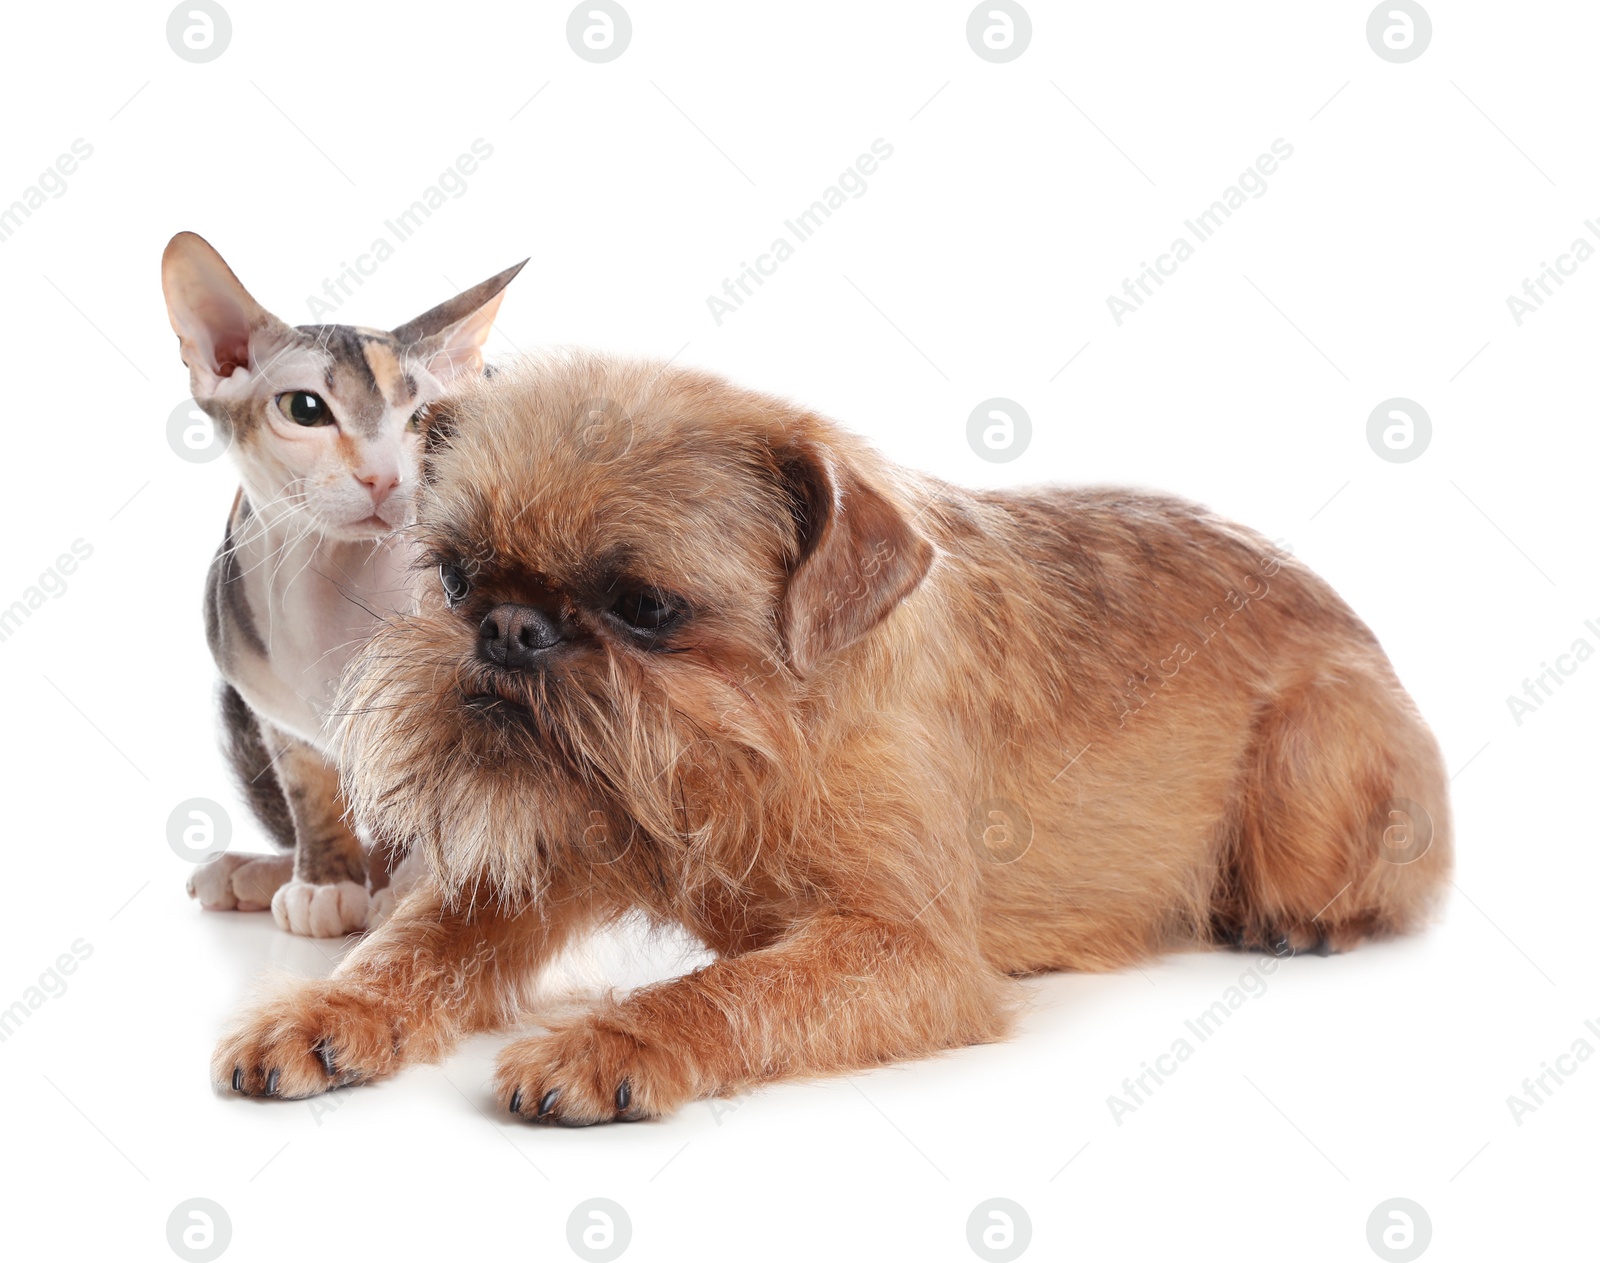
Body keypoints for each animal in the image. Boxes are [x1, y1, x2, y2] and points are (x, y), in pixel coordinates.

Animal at [162, 228, 524, 934]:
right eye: (305, 410)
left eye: (421, 419)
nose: (384, 477)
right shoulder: (272, 717)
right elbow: (308, 791)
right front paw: (324, 879)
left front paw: (412, 895)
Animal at [209, 350, 1452, 1120]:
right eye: (458, 580)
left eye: (644, 608)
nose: (510, 633)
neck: (750, 745)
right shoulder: (530, 868)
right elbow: (412, 945)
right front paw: (323, 1011)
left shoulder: (904, 953)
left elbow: (730, 990)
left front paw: (616, 1040)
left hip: (1312, 763)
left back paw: (1298, 923)